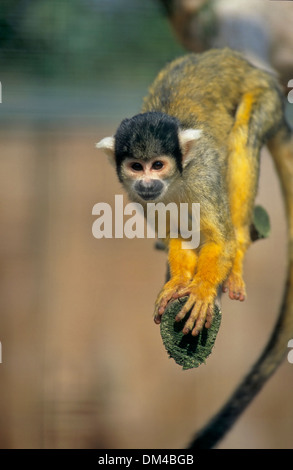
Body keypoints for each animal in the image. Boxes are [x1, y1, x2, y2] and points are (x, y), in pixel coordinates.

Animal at [97, 48, 292, 338]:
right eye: (136, 167)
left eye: (158, 165)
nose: (147, 184)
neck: (175, 181)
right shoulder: (140, 198)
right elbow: (176, 234)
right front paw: (178, 281)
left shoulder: (203, 174)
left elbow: (221, 240)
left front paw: (202, 288)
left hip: (265, 95)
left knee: (243, 135)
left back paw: (239, 248)